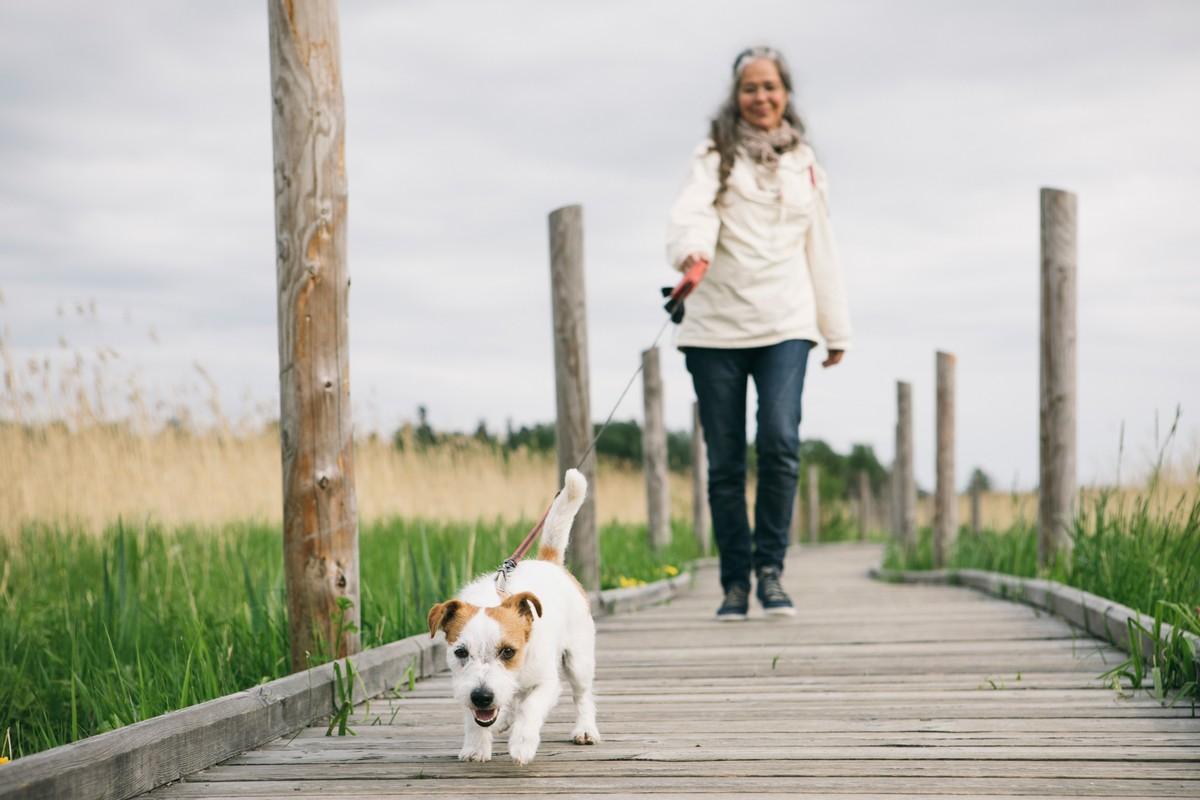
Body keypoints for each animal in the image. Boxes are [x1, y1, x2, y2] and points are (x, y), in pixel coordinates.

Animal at [429, 470, 600, 762]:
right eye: (460, 652)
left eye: (509, 652)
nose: (482, 697)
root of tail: (549, 562)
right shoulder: (464, 684)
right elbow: (474, 718)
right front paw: (476, 746)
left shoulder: (546, 683)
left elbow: (530, 708)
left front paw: (523, 742)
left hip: (579, 660)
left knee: (582, 695)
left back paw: (585, 729)